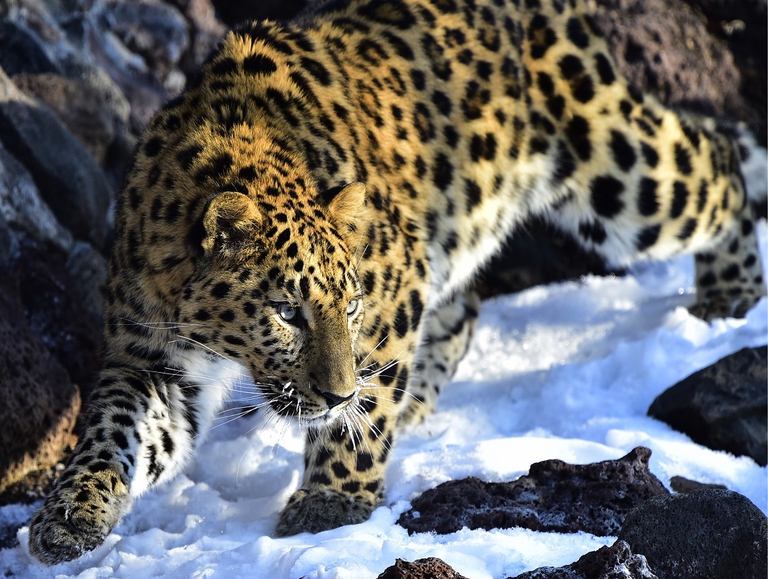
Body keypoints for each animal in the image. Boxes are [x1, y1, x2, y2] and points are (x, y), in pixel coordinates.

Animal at [28, 0, 765, 565]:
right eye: (286, 313)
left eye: (349, 305)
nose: (336, 391)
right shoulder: (151, 357)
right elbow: (114, 430)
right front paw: (69, 514)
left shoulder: (396, 283)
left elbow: (370, 396)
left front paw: (331, 501)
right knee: (464, 308)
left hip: (621, 170)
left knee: (720, 165)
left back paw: (730, 293)